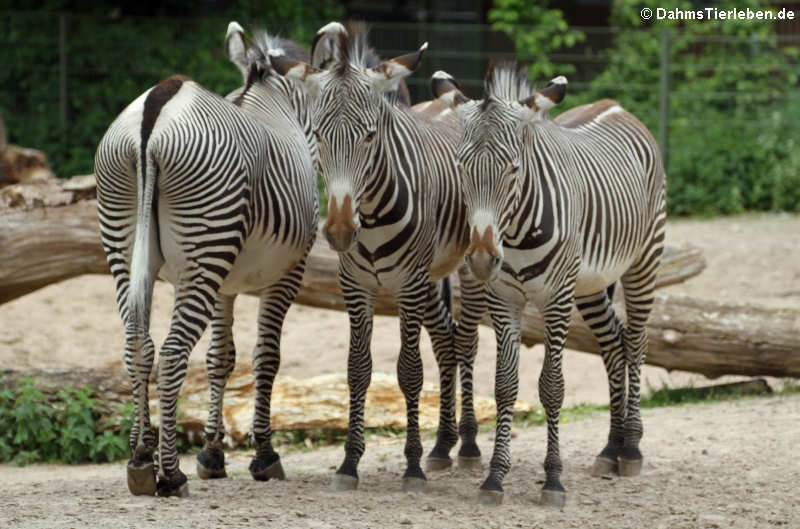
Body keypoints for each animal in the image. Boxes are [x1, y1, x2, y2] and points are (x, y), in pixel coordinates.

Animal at [92, 22, 318, 498]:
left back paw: (140, 460)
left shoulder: (223, 283)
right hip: (203, 252)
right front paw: (263, 456)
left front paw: (212, 454)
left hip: (126, 243)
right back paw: (169, 474)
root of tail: (157, 106)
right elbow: (265, 357)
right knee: (173, 352)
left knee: (138, 345)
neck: (268, 98)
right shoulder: (287, 274)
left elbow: (221, 358)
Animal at [268, 21, 488, 490]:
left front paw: (412, 465)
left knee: (466, 342)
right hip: (433, 278)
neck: (372, 214)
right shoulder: (355, 286)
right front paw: (350, 462)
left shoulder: (408, 285)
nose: (338, 231)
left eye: (370, 136)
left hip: (465, 267)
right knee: (446, 342)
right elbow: (357, 369)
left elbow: (409, 370)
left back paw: (468, 444)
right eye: (318, 135)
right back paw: (443, 445)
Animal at [434, 62, 664, 504]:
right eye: (461, 166)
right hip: (590, 284)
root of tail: (616, 104)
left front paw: (554, 479)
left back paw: (631, 448)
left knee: (637, 342)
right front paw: (495, 476)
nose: (482, 259)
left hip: (644, 259)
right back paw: (610, 448)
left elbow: (553, 387)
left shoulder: (556, 298)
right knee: (614, 344)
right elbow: (505, 385)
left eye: (512, 169)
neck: (517, 233)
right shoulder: (504, 299)